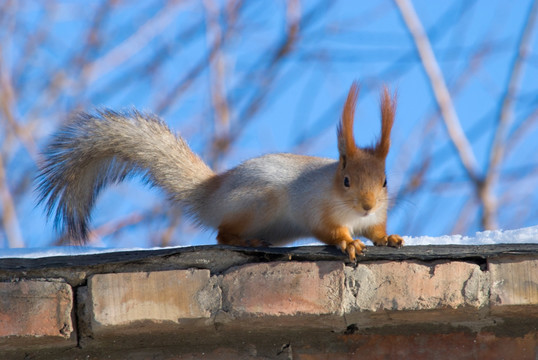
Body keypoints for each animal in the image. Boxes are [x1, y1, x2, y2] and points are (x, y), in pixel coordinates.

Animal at [35, 82, 400, 262]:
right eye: (346, 180)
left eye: (385, 181)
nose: (366, 205)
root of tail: (210, 194)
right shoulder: (318, 209)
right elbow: (330, 231)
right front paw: (348, 243)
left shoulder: (375, 216)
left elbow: (377, 230)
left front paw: (389, 238)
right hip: (259, 202)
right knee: (222, 235)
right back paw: (246, 239)